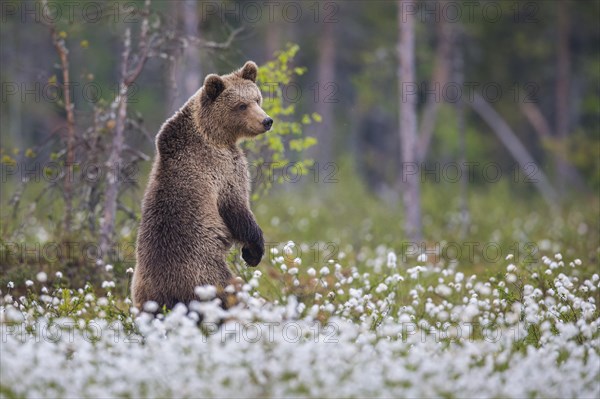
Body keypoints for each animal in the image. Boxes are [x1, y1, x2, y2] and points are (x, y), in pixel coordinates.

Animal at [132, 61, 274, 310]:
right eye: (241, 105)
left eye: (257, 99)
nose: (266, 121)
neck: (213, 136)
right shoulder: (223, 171)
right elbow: (237, 209)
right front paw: (253, 251)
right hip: (206, 273)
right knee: (230, 290)